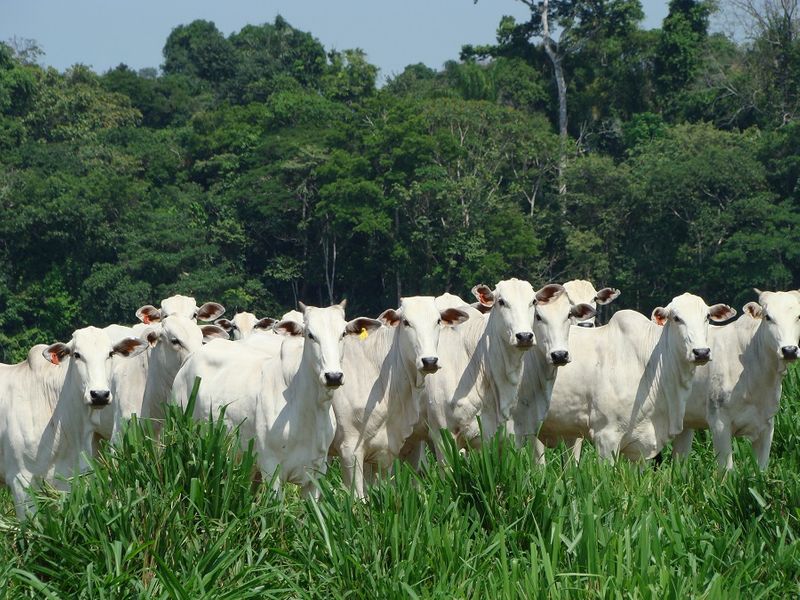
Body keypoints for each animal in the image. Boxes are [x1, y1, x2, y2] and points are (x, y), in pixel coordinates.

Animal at [676, 290, 800, 468]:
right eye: (768, 317)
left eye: (798, 316)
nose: (789, 350)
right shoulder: (719, 423)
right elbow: (727, 469)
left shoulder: (767, 425)